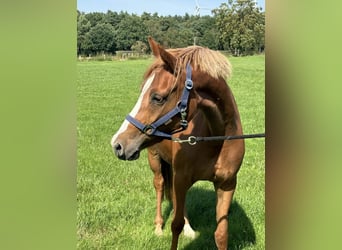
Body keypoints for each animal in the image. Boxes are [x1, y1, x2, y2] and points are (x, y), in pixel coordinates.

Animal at [111, 37, 244, 250]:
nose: (117, 144)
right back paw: (158, 227)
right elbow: (175, 225)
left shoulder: (227, 184)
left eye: (157, 97)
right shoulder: (181, 178)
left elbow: (221, 233)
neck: (216, 138)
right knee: (160, 186)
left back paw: (189, 229)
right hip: (156, 161)